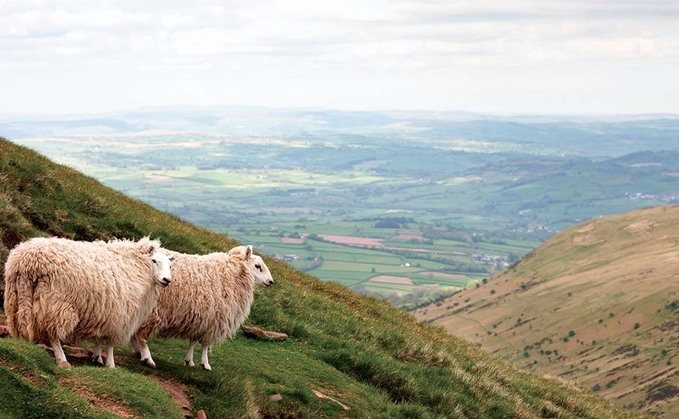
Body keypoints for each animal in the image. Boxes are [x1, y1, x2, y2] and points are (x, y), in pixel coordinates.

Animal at [3, 238, 173, 370]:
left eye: (170, 265)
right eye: (154, 261)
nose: (167, 280)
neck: (134, 265)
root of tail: (27, 261)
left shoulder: (103, 312)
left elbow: (98, 336)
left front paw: (97, 357)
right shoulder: (118, 315)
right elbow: (110, 343)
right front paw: (110, 364)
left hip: (18, 297)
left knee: (23, 323)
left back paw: (23, 344)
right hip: (57, 303)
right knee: (53, 335)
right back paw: (62, 359)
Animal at [130, 244, 274, 372]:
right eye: (257, 266)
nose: (271, 281)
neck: (231, 273)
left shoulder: (200, 318)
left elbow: (193, 340)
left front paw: (189, 361)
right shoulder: (214, 320)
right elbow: (205, 344)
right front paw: (205, 364)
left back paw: (138, 351)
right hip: (153, 310)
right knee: (142, 335)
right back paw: (147, 358)